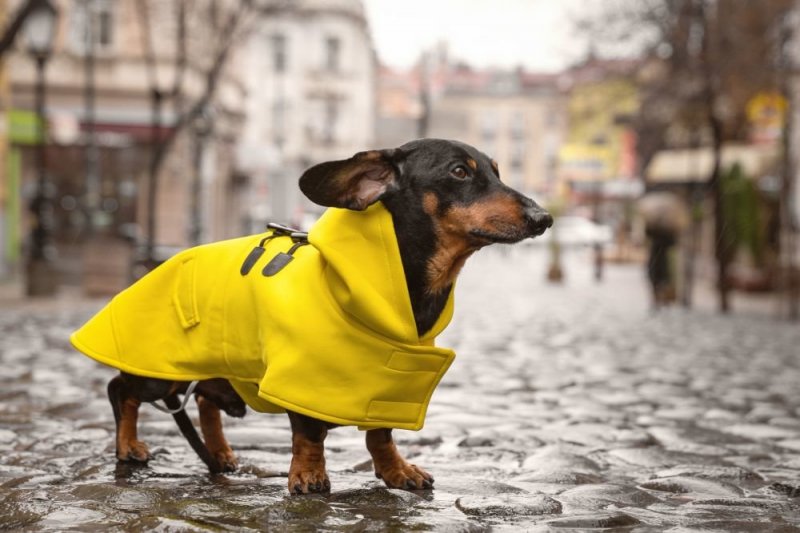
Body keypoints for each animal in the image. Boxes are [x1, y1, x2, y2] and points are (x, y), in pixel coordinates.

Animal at [72, 138, 552, 494]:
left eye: (496, 170)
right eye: (459, 172)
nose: (544, 217)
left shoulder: (387, 378)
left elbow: (380, 433)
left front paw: (396, 471)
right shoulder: (300, 375)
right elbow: (309, 433)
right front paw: (308, 474)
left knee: (205, 400)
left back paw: (220, 454)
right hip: (162, 374)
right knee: (121, 390)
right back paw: (129, 445)